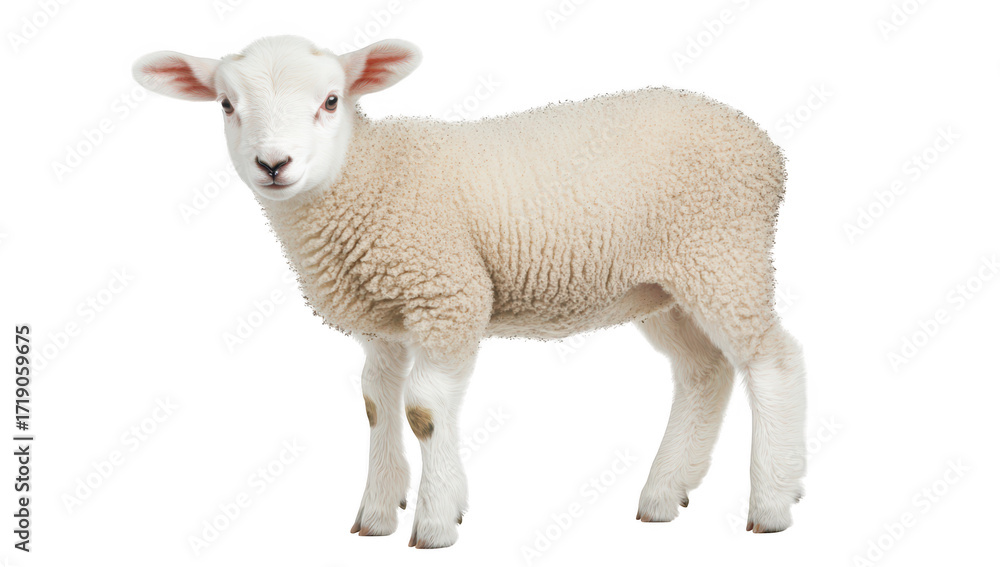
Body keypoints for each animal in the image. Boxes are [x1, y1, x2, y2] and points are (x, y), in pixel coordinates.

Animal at [133, 35, 806, 548]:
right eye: (226, 104)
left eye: (330, 100)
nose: (274, 164)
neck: (366, 176)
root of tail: (765, 144)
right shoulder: (382, 320)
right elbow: (376, 404)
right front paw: (377, 515)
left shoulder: (448, 292)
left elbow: (425, 409)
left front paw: (434, 523)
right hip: (662, 285)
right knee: (704, 370)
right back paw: (666, 493)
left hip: (724, 254)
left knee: (771, 361)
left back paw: (772, 502)